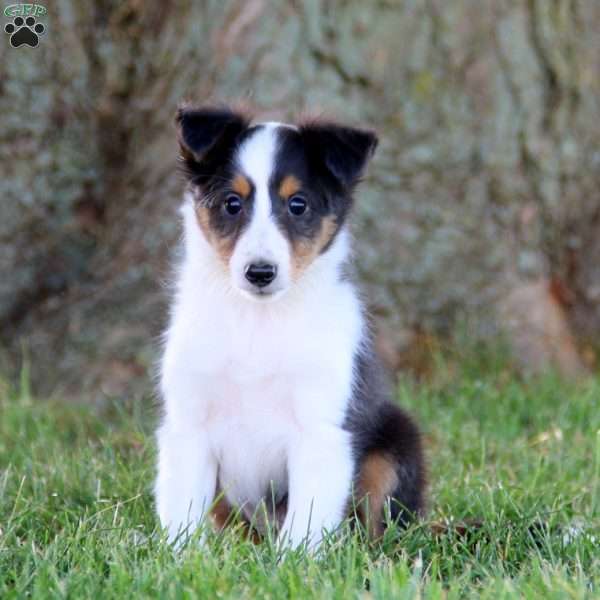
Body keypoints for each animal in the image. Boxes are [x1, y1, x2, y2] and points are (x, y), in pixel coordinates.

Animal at [155, 104, 426, 548]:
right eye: (232, 203)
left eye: (297, 205)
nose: (260, 273)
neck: (258, 321)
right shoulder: (189, 423)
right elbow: (182, 514)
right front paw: (179, 556)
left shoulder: (320, 429)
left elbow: (305, 523)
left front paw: (293, 560)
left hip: (395, 441)